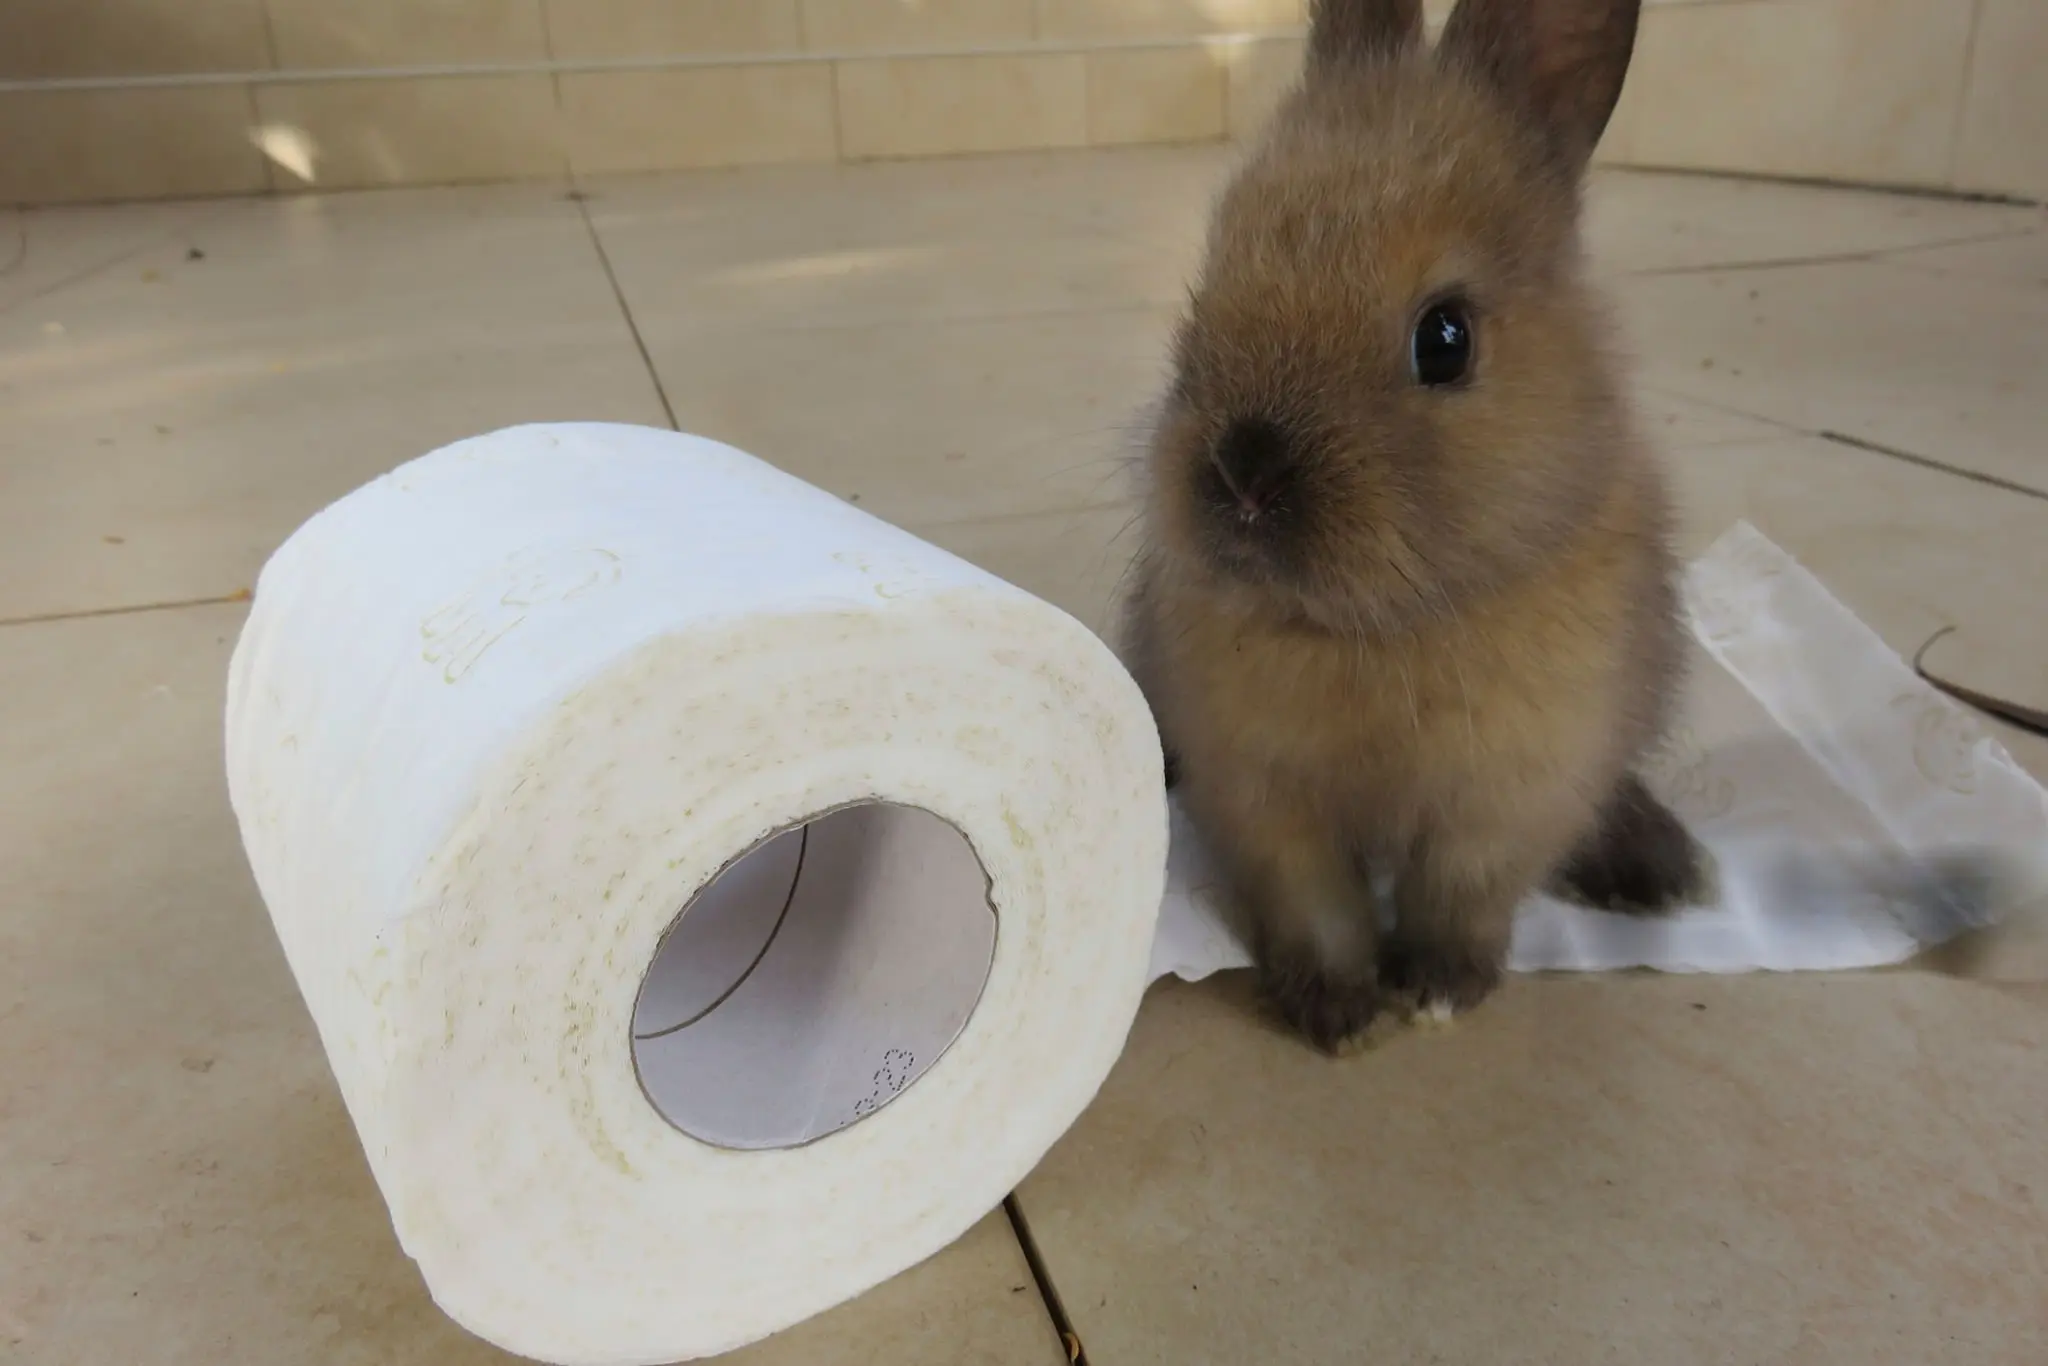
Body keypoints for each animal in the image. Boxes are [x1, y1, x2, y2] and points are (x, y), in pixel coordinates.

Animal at [1123, 0, 1713, 1052]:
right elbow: (1319, 907)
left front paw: (1437, 992)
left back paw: (1657, 868)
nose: (1242, 477)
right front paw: (1339, 1014)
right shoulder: (1267, 805)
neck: (1378, 630)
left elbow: (1461, 899)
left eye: (1445, 338)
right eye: (1215, 271)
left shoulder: (1511, 800)